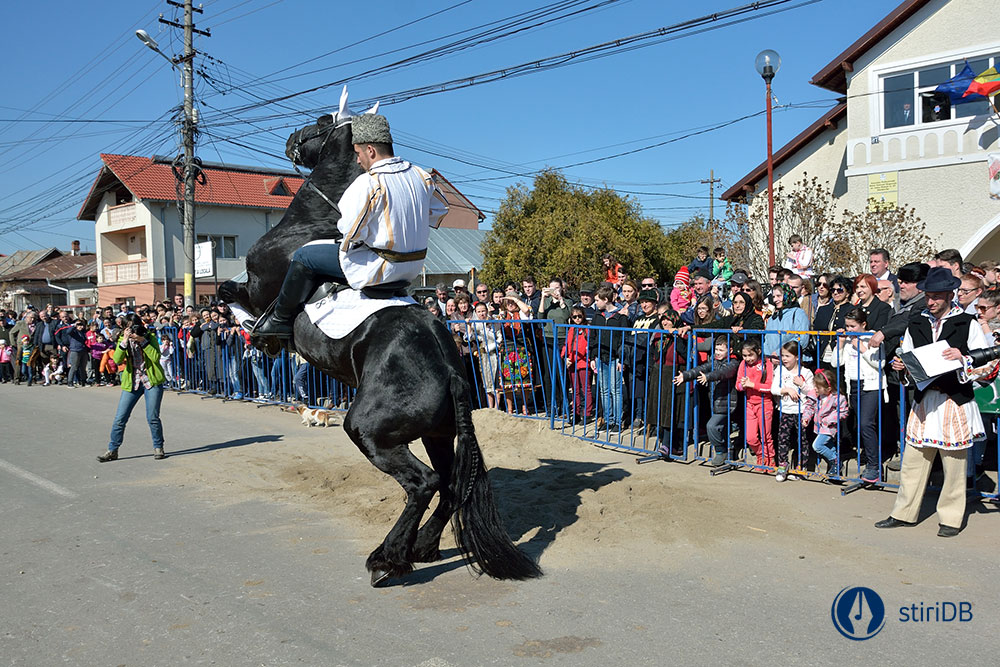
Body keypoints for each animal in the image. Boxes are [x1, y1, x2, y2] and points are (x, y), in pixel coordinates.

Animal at [221, 91, 540, 588]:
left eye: (321, 122)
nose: (291, 138)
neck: (312, 221)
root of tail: (450, 370)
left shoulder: (256, 288)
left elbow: (227, 293)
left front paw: (259, 334)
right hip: (436, 432)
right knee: (449, 485)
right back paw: (421, 546)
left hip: (369, 429)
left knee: (423, 484)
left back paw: (388, 558)